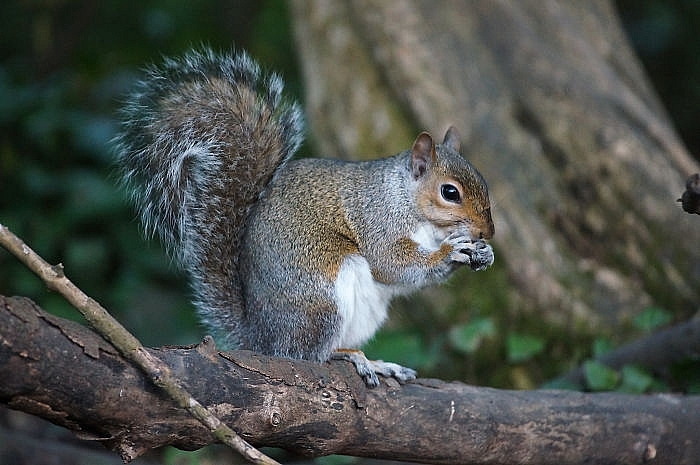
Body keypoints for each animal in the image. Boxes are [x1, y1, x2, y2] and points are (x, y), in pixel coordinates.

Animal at [115, 49, 494, 386]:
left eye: (484, 182)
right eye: (450, 192)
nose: (487, 231)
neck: (407, 200)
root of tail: (261, 339)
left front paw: (482, 253)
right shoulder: (378, 219)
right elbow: (392, 264)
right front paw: (452, 251)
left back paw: (377, 361)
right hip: (321, 301)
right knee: (307, 355)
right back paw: (351, 357)